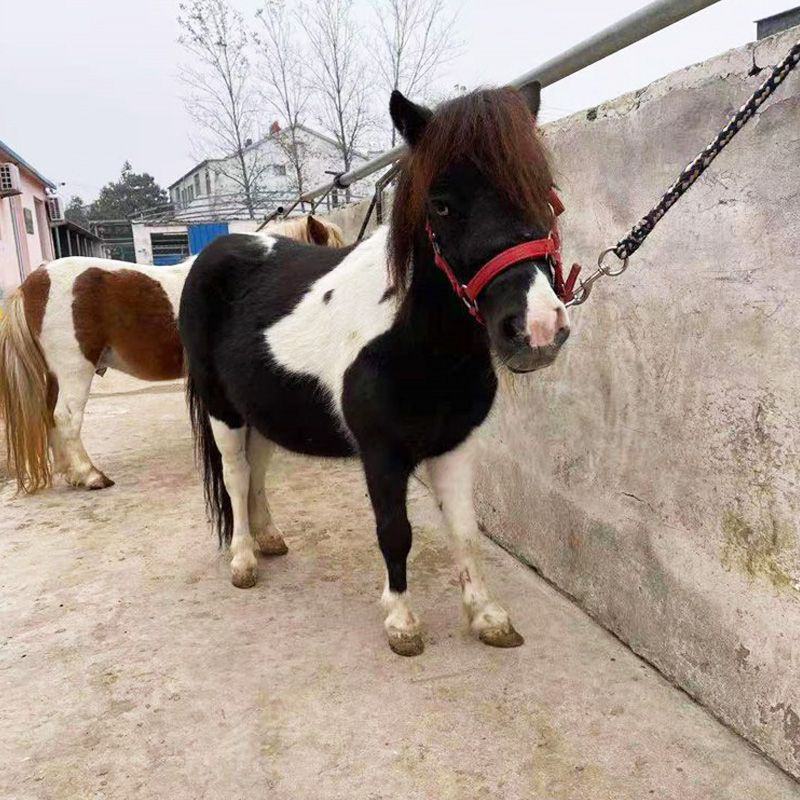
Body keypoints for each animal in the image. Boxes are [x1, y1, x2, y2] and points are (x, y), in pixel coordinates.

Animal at [0, 214, 345, 493]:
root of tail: (34, 281)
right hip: (75, 370)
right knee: (67, 417)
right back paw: (90, 475)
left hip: (55, 375)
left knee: (50, 417)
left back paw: (70, 473)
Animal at [179, 84, 571, 657]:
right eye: (441, 205)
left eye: (544, 192)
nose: (537, 329)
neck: (418, 344)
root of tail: (220, 250)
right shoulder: (381, 454)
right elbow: (395, 531)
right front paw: (402, 622)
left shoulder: (455, 444)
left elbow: (464, 531)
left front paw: (487, 617)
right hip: (222, 411)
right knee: (235, 475)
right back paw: (244, 559)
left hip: (262, 410)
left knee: (258, 471)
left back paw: (270, 540)